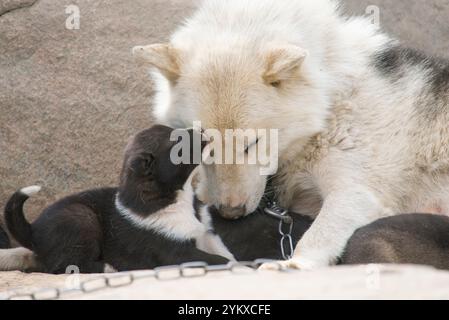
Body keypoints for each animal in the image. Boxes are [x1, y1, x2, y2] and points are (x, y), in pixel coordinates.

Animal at [3, 124, 228, 274]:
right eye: (178, 143)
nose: (203, 129)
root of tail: (33, 230)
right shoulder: (174, 252)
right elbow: (215, 259)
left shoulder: (204, 234)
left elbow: (220, 250)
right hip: (81, 218)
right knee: (65, 265)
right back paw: (108, 266)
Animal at [132, 0, 448, 270]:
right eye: (203, 146)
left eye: (253, 143)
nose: (230, 213)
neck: (331, 96)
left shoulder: (357, 193)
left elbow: (317, 235)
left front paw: (292, 265)